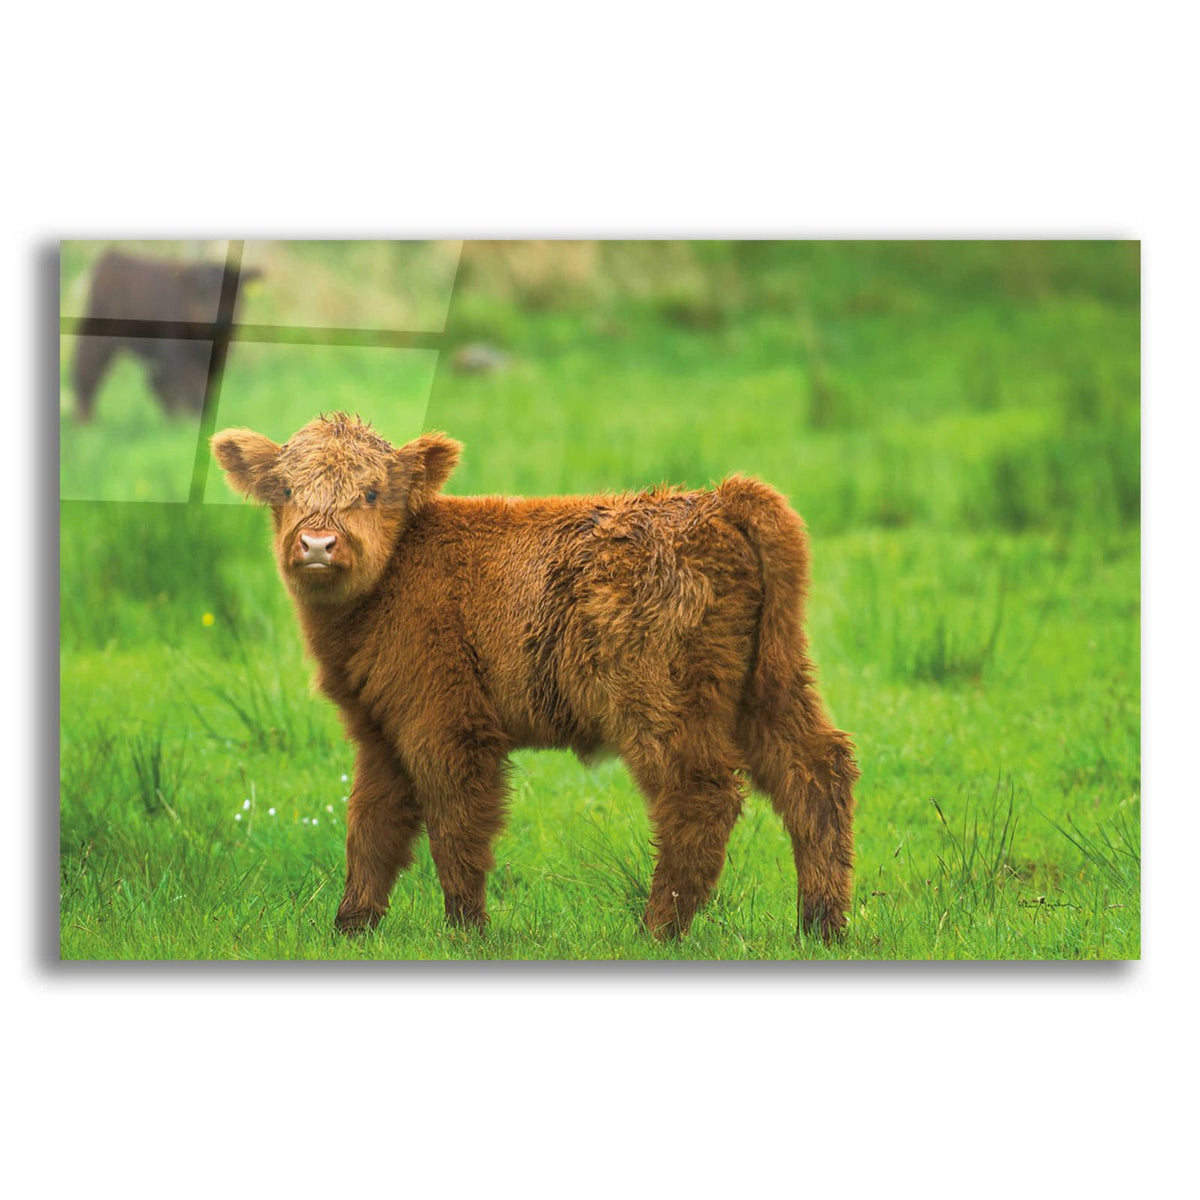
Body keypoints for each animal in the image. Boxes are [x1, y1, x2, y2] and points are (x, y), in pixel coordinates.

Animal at [71, 251, 260, 421]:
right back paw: (85, 420)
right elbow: (190, 385)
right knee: (87, 367)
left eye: (234, 295)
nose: (221, 321)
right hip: (99, 337)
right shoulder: (178, 354)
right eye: (203, 294)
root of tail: (110, 257)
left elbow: (205, 385)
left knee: (155, 383)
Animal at [212, 413, 858, 942]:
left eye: (371, 492)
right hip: (769, 687)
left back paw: (656, 930)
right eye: (286, 490)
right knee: (815, 773)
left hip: (662, 703)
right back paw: (819, 927)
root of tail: (715, 499)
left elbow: (456, 826)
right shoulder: (379, 731)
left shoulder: (448, 723)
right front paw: (351, 926)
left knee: (702, 797)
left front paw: (467, 930)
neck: (393, 578)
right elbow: (371, 825)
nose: (317, 543)